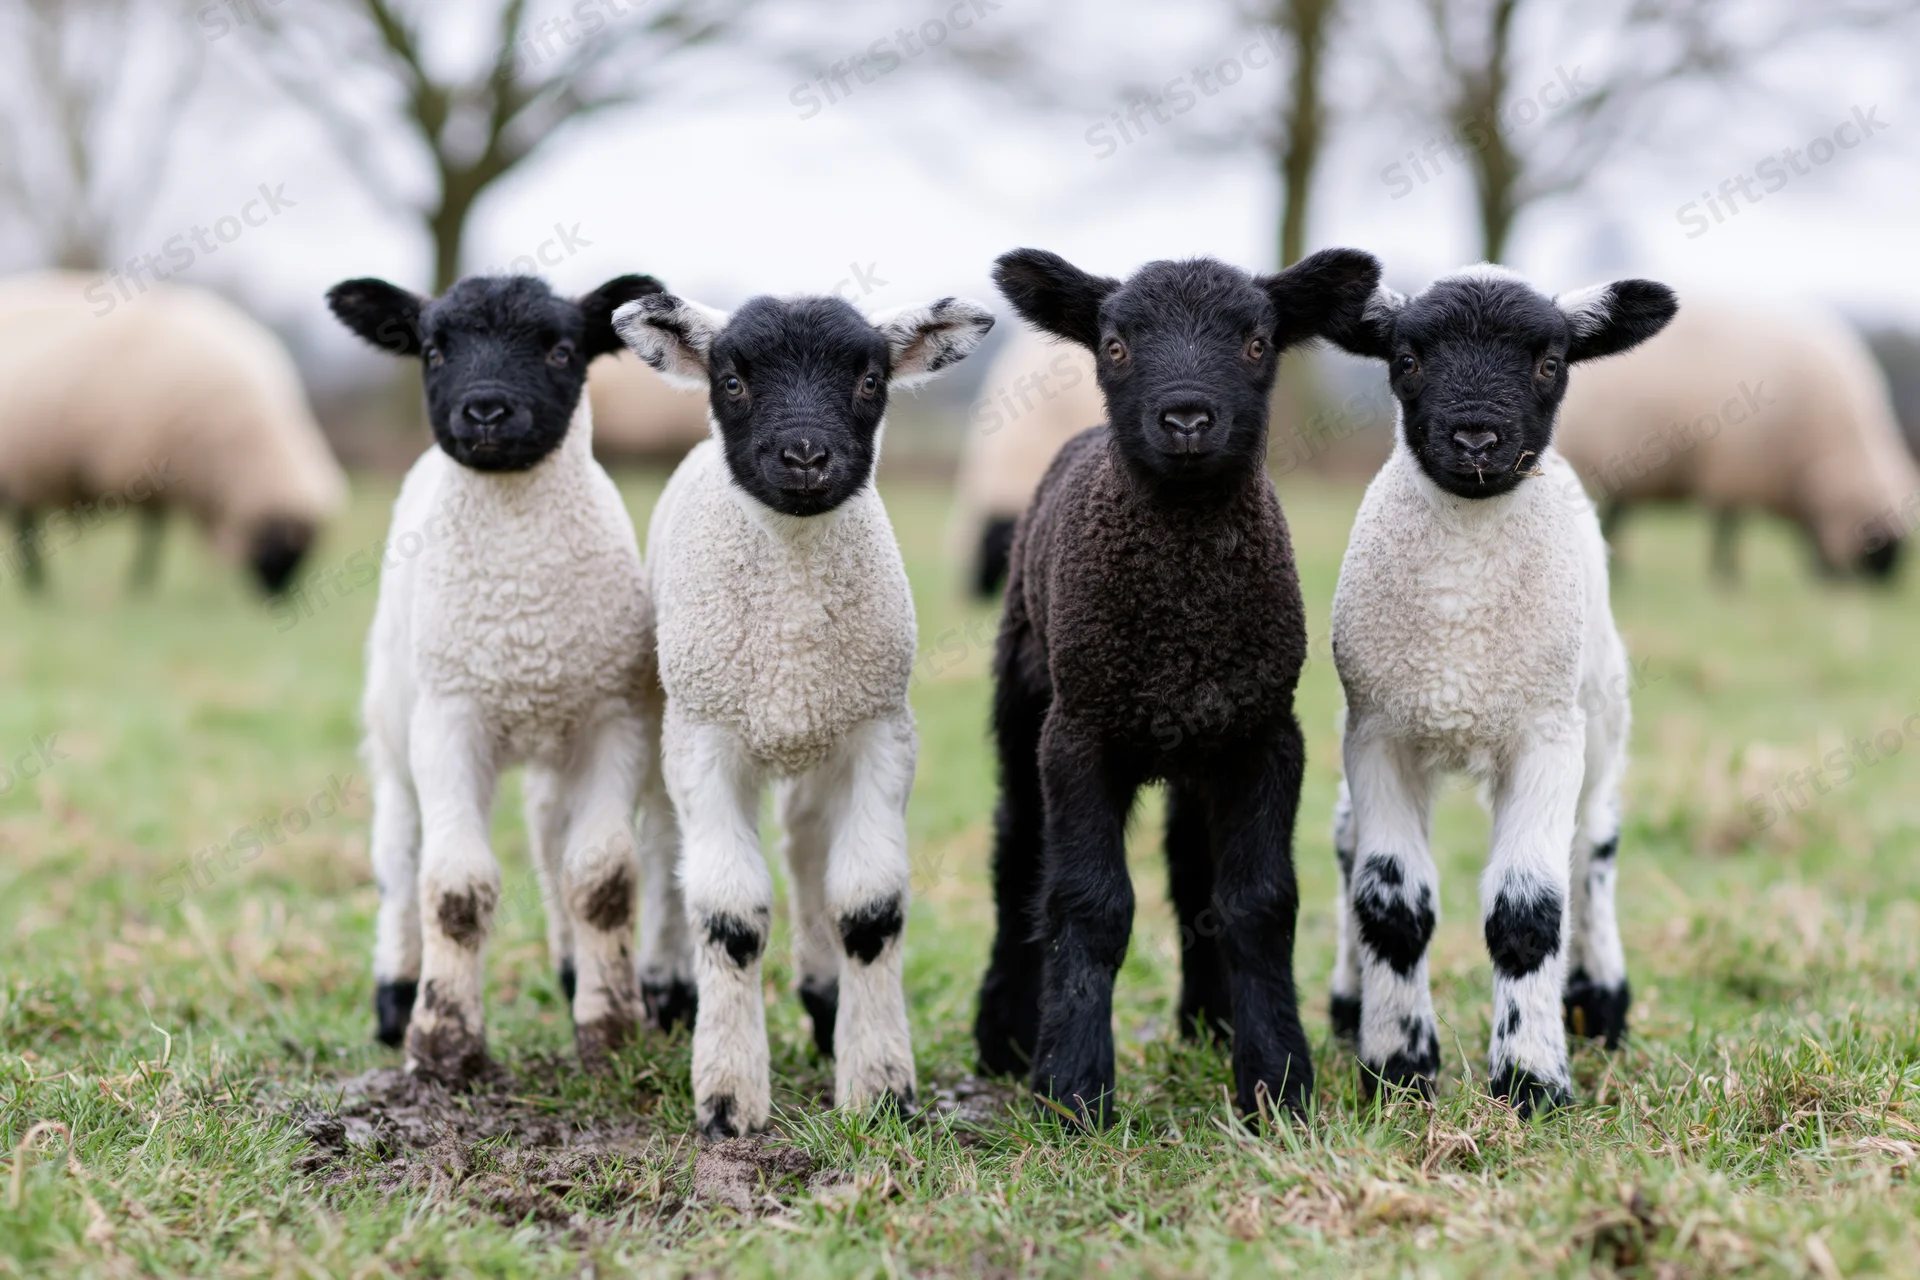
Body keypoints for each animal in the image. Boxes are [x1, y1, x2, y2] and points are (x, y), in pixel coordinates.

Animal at [0, 270, 346, 595]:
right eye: (282, 547)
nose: (278, 600)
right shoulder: (152, 466)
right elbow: (151, 536)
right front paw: (140, 584)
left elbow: (153, 532)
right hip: (18, 465)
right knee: (23, 527)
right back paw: (37, 587)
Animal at [324, 270, 692, 1086]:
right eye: (433, 350)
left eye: (560, 349)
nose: (486, 410)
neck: (523, 614)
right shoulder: (449, 720)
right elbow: (455, 886)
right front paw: (442, 1044)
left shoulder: (612, 719)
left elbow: (601, 878)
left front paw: (609, 1030)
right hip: (395, 721)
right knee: (398, 852)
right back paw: (394, 993)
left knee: (563, 845)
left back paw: (590, 975)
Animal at [612, 288, 994, 1139]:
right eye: (731, 380)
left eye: (869, 380)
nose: (806, 457)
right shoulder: (707, 738)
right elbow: (729, 914)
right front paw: (728, 1100)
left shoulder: (881, 734)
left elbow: (868, 908)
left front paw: (880, 1089)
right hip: (665, 712)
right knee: (663, 845)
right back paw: (667, 991)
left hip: (824, 735)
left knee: (810, 852)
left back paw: (824, 1002)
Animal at [973, 247, 1383, 1126]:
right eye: (1115, 344)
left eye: (1258, 342)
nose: (1188, 419)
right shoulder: (1079, 734)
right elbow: (1088, 903)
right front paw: (1073, 1091)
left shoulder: (1265, 735)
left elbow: (1258, 902)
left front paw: (1276, 1084)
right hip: (1026, 696)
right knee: (1018, 852)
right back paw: (1005, 1035)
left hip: (1202, 742)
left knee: (1193, 867)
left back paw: (1209, 1021)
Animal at [1322, 263, 1677, 1116]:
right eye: (1407, 358)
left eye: (1549, 362)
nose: (1477, 439)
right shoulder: (1378, 734)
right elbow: (1392, 907)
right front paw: (1397, 1069)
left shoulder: (1544, 738)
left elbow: (1528, 912)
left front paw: (1530, 1079)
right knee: (1347, 840)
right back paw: (1350, 1005)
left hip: (1598, 715)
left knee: (1593, 842)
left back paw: (1597, 1001)